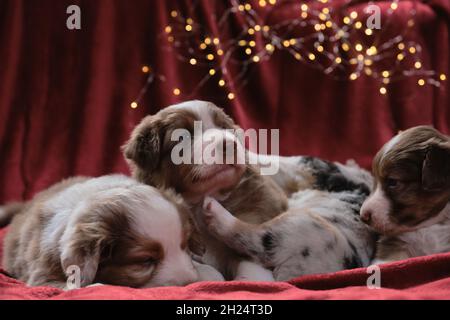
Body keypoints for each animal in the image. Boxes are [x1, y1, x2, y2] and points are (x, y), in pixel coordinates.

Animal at [122, 100, 376, 280]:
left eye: (225, 129)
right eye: (182, 136)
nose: (229, 144)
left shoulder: (265, 204)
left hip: (304, 223)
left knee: (250, 236)